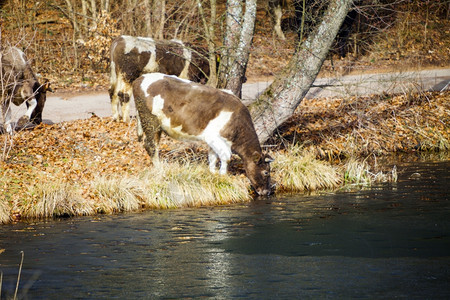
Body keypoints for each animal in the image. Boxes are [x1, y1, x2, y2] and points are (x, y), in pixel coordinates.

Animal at [133, 73, 274, 197]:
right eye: (266, 172)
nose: (268, 192)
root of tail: (140, 78)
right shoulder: (215, 137)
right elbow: (226, 157)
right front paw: (223, 176)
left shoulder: (212, 140)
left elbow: (213, 157)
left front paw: (212, 173)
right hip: (150, 121)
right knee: (150, 145)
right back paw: (159, 167)